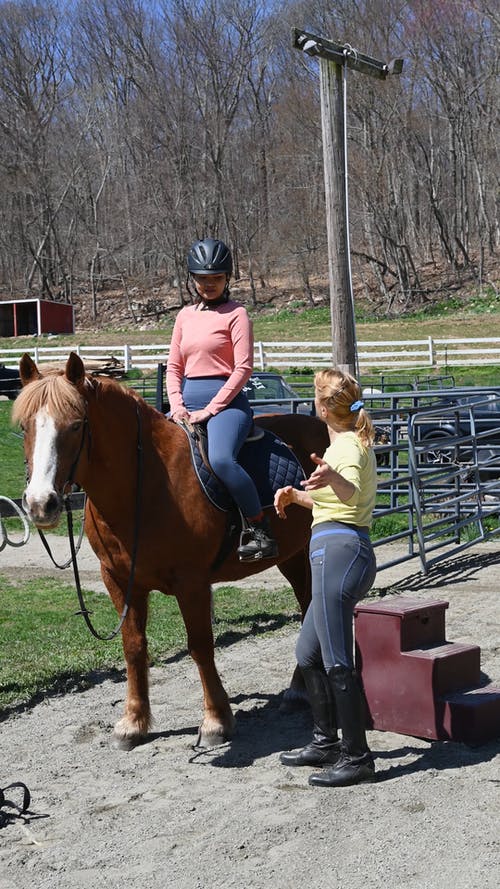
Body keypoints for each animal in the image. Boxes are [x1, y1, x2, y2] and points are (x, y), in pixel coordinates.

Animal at [13, 354, 328, 748]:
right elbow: (133, 647)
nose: (41, 504)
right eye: (25, 426)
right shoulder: (118, 580)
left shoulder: (191, 582)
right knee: (306, 606)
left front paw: (215, 721)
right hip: (293, 555)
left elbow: (200, 645)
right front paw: (133, 722)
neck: (145, 485)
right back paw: (298, 690)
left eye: (75, 425)